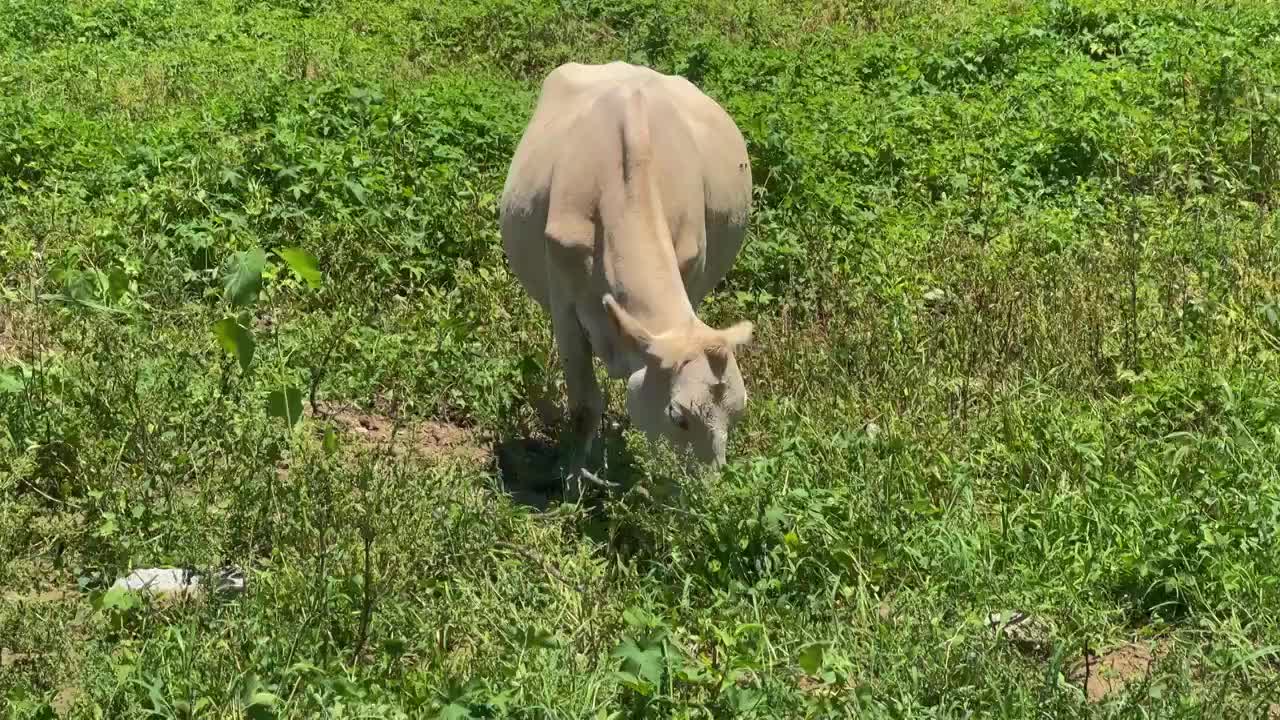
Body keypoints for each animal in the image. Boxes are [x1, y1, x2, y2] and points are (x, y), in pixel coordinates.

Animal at [501, 60, 757, 486]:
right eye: (677, 416)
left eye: (738, 413)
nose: (709, 489)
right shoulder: (564, 308)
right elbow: (584, 406)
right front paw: (573, 483)